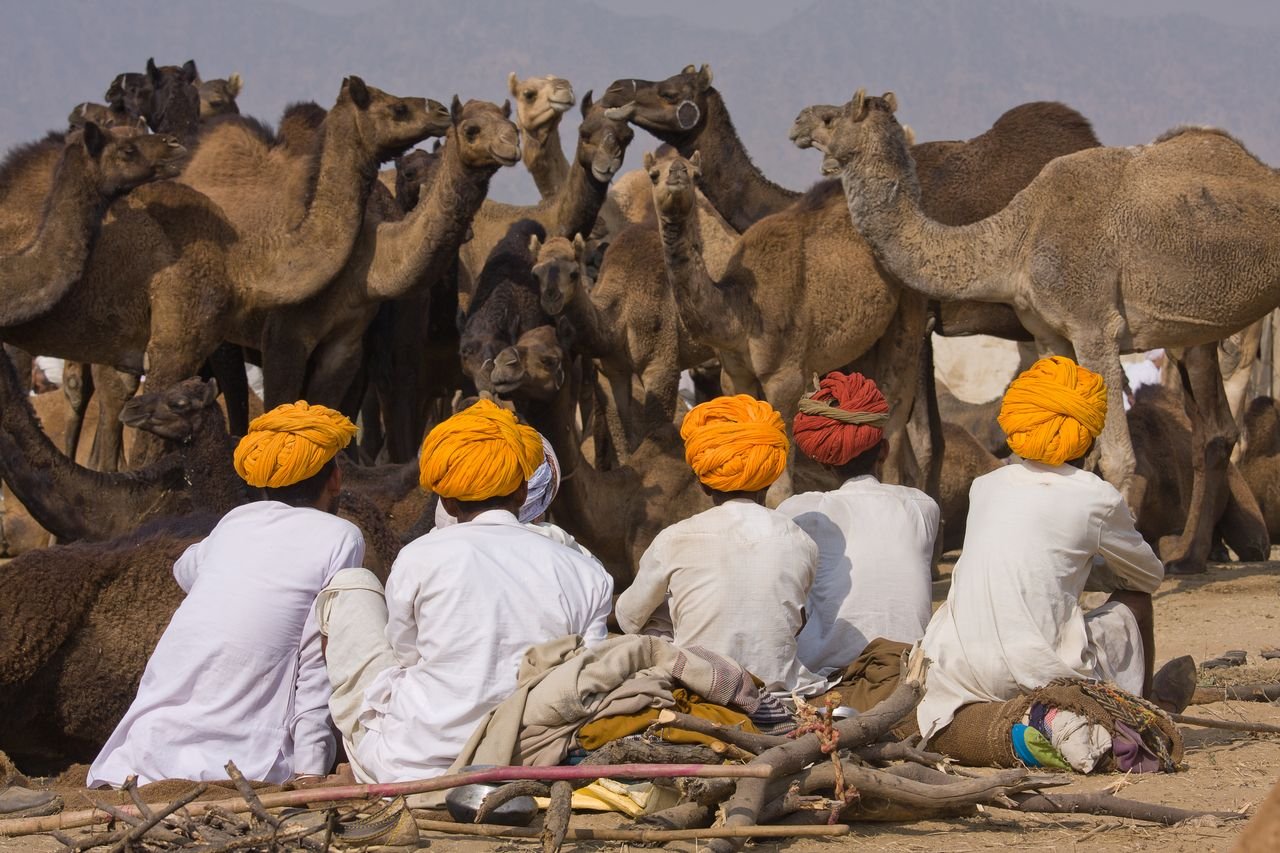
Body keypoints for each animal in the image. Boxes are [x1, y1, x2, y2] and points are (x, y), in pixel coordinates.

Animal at [820, 90, 1280, 569]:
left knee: (1212, 432)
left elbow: (1114, 456)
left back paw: (1188, 556)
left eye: (831, 117)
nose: (800, 125)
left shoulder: (1093, 327)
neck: (1014, 237)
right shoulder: (1048, 334)